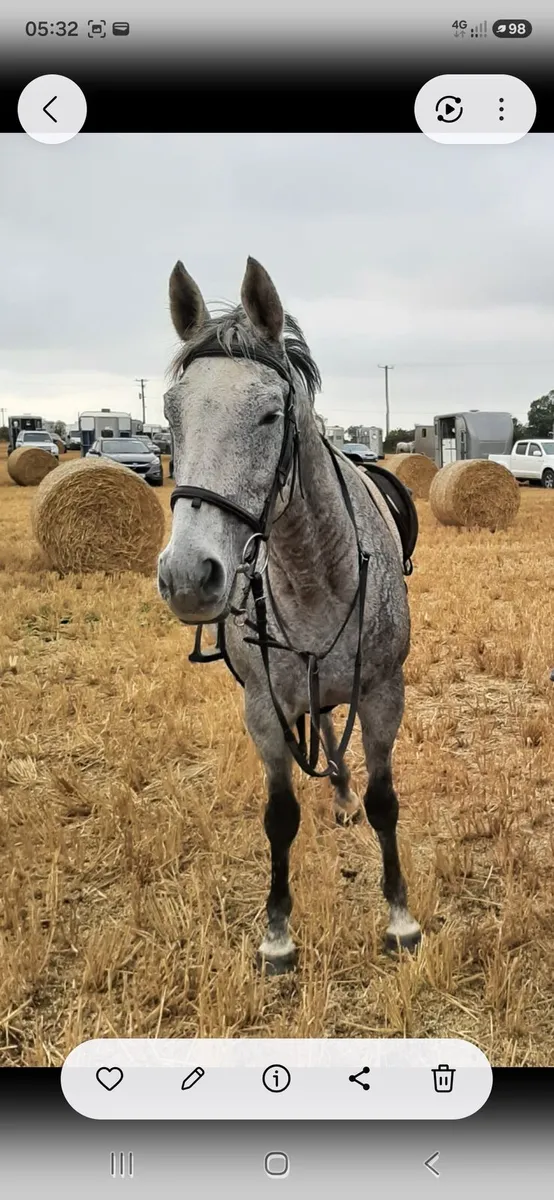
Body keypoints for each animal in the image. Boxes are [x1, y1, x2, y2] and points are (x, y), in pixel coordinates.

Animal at [158, 256, 422, 974]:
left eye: (271, 414)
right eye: (170, 413)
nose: (187, 575)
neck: (313, 573)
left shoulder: (383, 692)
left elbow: (386, 802)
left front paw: (400, 918)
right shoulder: (263, 710)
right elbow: (279, 817)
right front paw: (277, 933)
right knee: (324, 727)